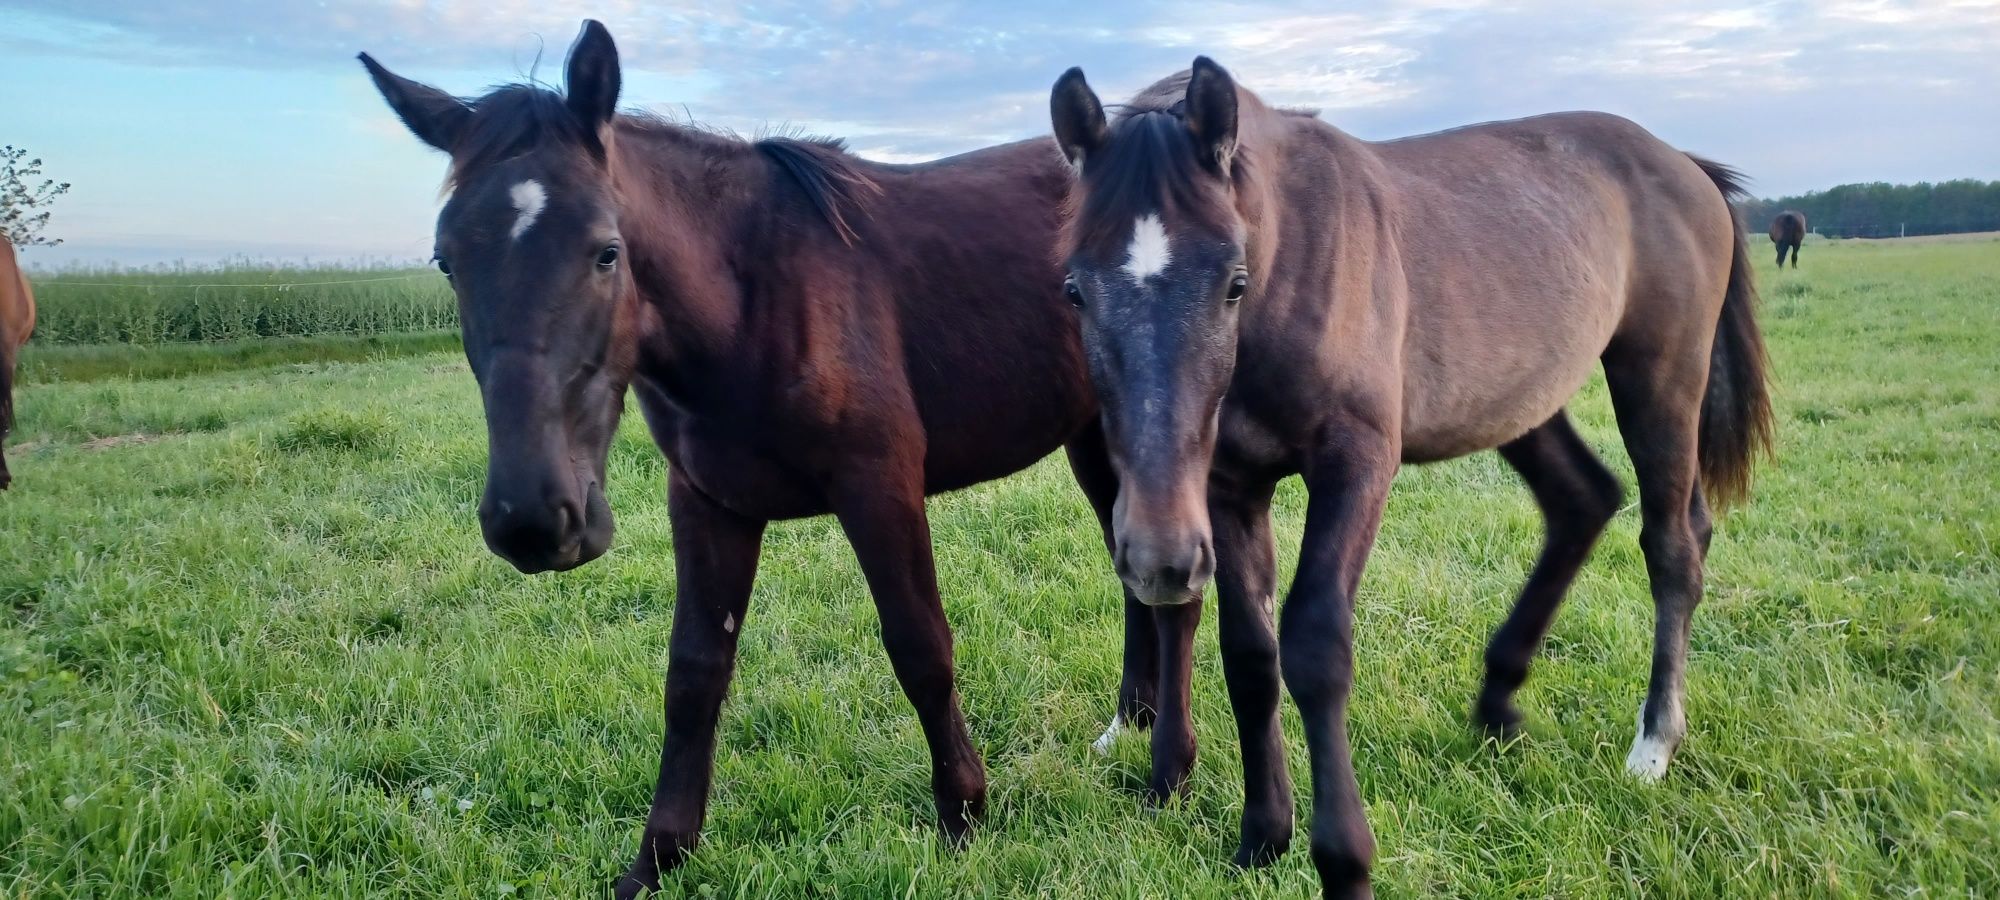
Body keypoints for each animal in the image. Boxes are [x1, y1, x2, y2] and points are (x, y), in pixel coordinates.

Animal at [362, 19, 1200, 892]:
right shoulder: (708, 502)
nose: (533, 519)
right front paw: (658, 859)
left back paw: (1167, 769)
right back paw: (1128, 724)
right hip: (1092, 436)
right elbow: (694, 674)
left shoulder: (879, 488)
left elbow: (921, 648)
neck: (750, 301)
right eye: (447, 260)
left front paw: (963, 817)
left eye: (606, 252)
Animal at [1056, 59, 1776, 896]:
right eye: (1075, 290)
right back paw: (1498, 703)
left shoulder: (1357, 462)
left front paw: (1344, 862)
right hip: (1519, 399)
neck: (1291, 259)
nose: (1159, 560)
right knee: (1583, 500)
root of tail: (1683, 164)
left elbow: (1316, 647)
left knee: (1672, 546)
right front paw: (1262, 837)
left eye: (1233, 281)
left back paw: (1654, 744)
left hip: (1659, 379)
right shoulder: (1230, 488)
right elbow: (1251, 657)